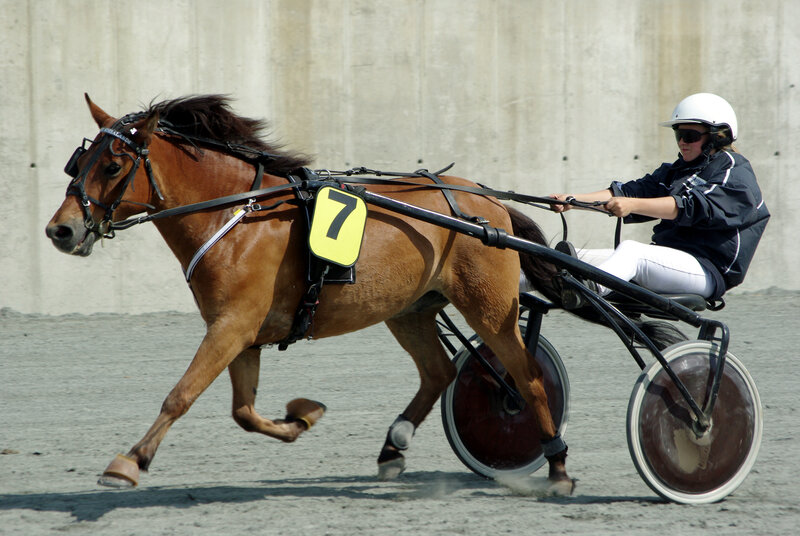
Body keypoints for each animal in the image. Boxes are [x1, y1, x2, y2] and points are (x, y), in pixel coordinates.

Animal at [46, 94, 575, 492]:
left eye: (113, 166)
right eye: (78, 162)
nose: (61, 231)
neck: (236, 214)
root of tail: (490, 205)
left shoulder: (232, 325)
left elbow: (180, 396)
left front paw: (129, 462)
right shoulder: (241, 331)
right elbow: (244, 412)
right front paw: (302, 418)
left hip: (488, 305)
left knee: (526, 378)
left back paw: (557, 467)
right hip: (409, 309)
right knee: (439, 372)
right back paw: (393, 445)